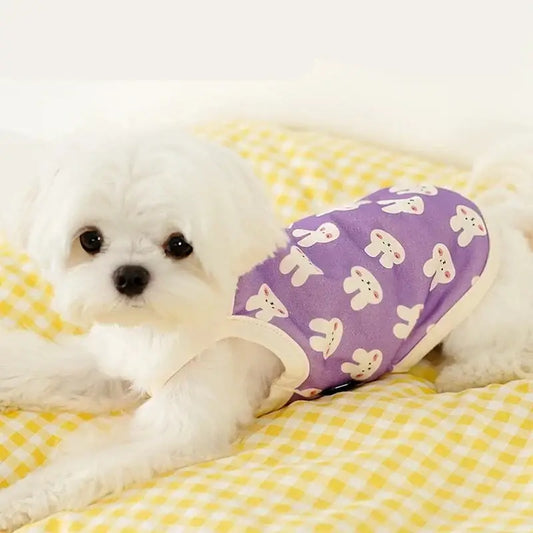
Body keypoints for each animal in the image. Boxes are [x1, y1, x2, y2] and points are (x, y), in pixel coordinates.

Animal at [0, 128, 528, 528]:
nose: (130, 276)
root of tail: (500, 217)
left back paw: (465, 374)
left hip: (475, 313)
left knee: (511, 350)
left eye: (179, 245)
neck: (158, 327)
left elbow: (84, 466)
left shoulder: (181, 426)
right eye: (90, 240)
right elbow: (50, 369)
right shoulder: (113, 365)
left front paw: (14, 500)